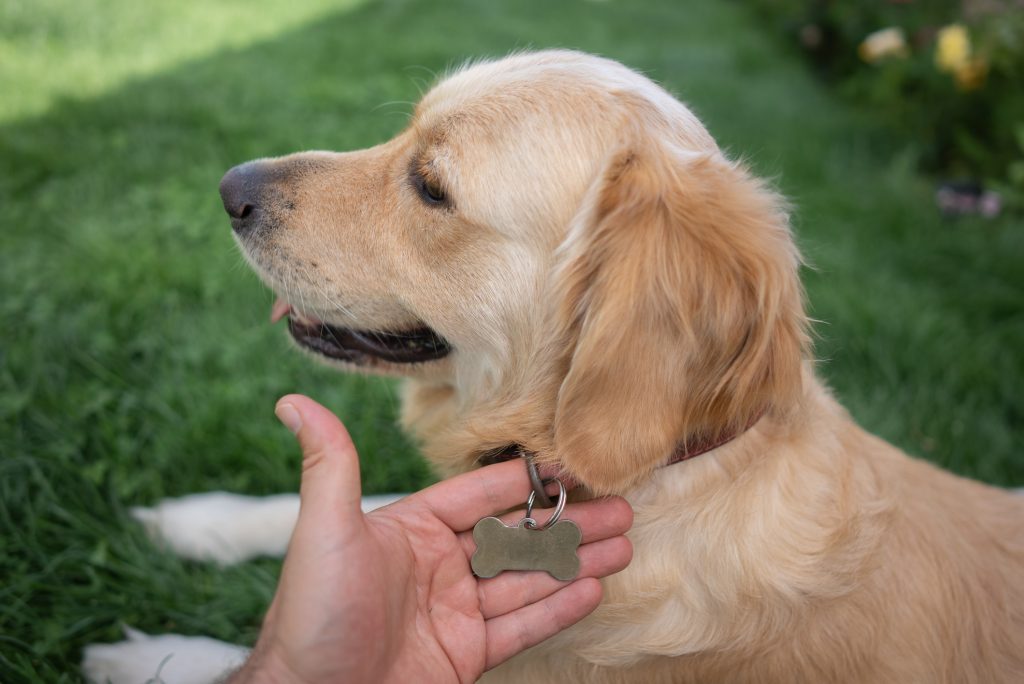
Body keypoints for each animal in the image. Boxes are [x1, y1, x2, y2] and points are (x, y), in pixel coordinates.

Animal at [83, 49, 1019, 684]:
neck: (666, 472)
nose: (228, 188)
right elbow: (349, 510)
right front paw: (198, 521)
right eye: (405, 133)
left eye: (431, 186)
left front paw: (151, 657)